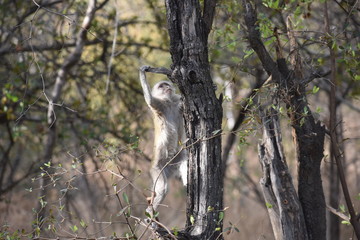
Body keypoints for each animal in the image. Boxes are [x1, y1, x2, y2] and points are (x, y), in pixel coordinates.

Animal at [139, 64, 188, 213]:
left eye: (167, 85)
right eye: (162, 86)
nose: (167, 87)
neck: (169, 103)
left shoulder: (176, 102)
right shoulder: (160, 105)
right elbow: (150, 100)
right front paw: (142, 72)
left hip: (175, 160)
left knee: (184, 160)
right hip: (157, 167)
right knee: (163, 189)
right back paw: (150, 212)